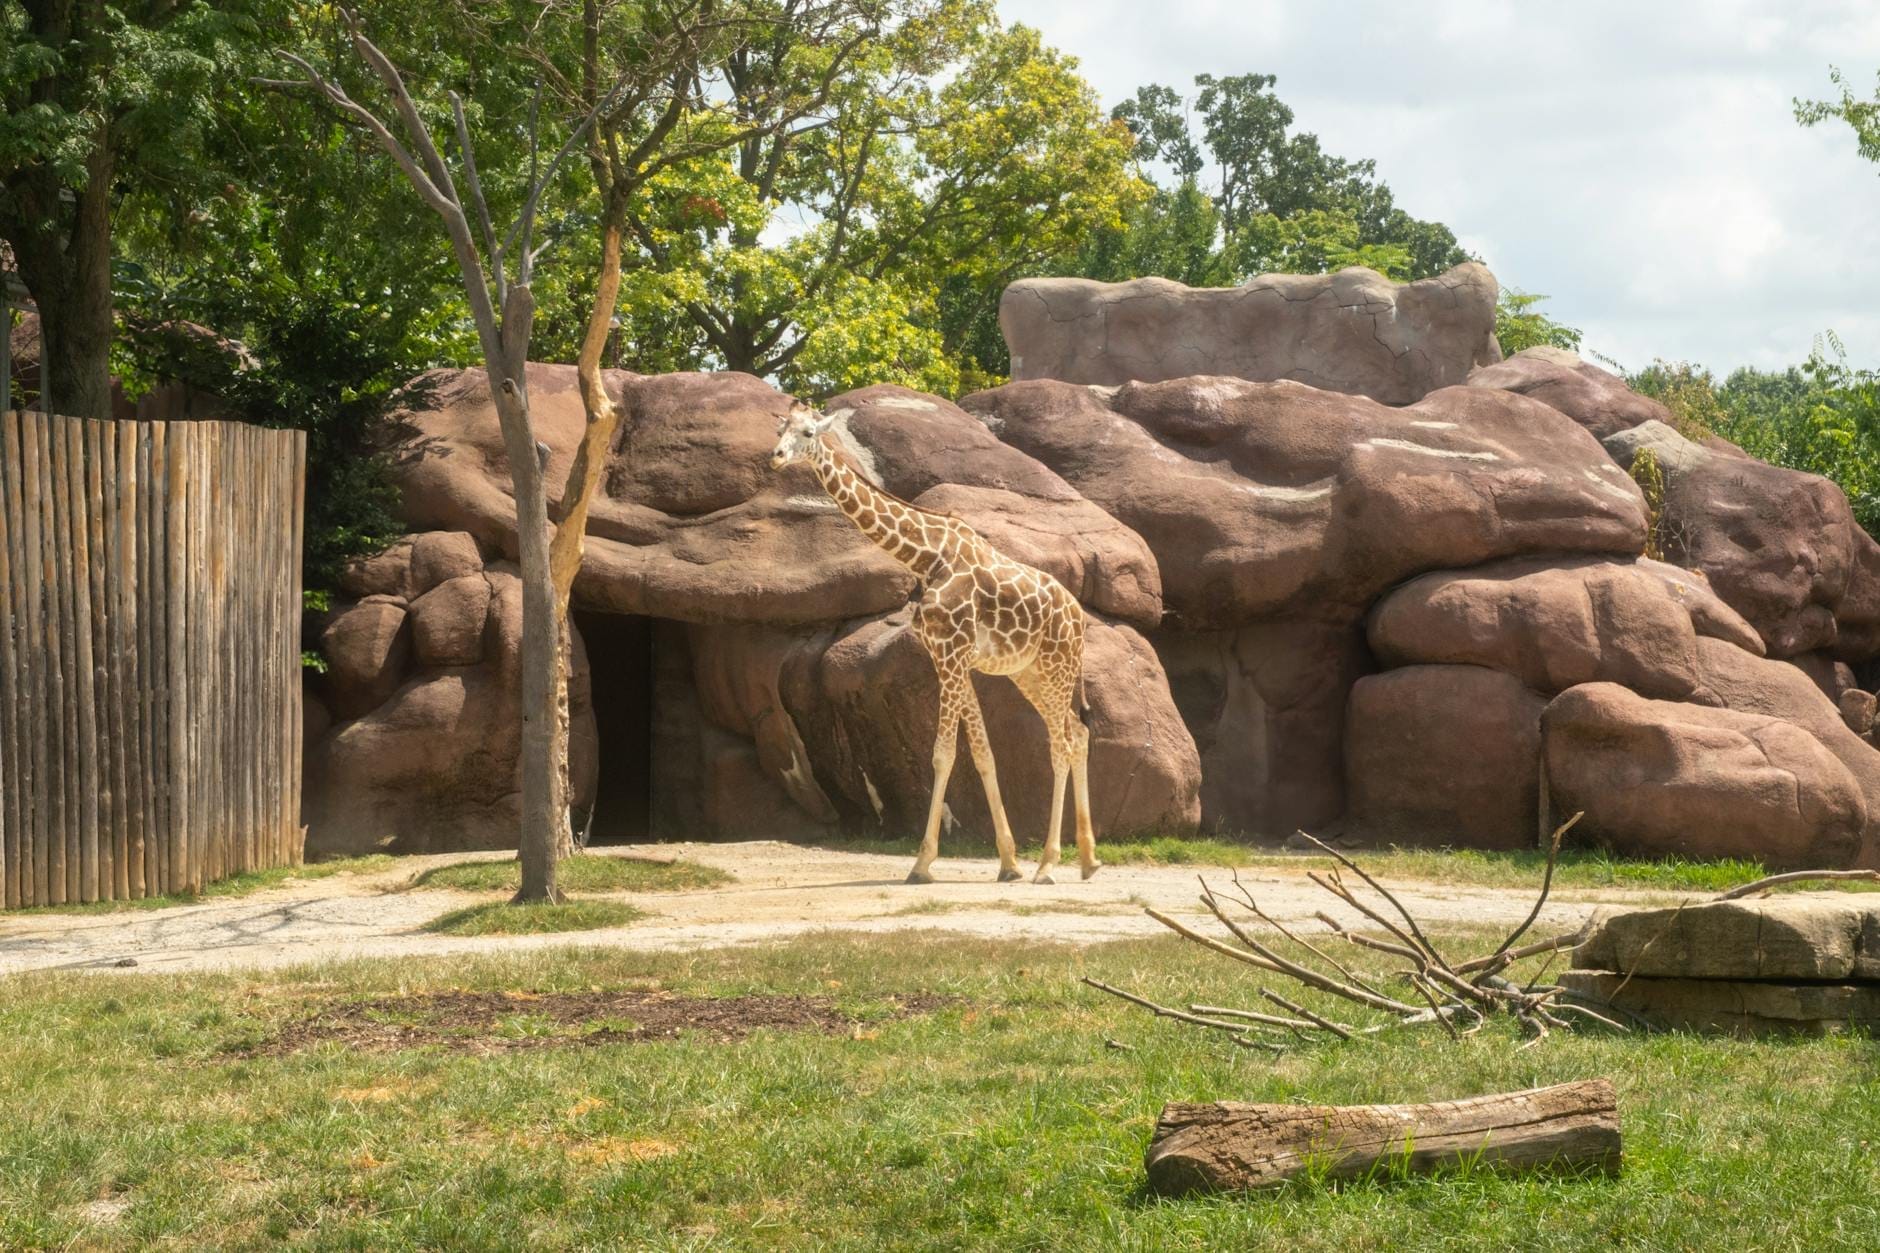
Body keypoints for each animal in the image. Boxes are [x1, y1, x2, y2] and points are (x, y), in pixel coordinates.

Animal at [770, 402, 1099, 885]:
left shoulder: (950, 655)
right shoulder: (954, 659)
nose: (775, 457)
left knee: (1061, 744)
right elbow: (982, 754)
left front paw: (922, 863)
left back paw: (1049, 864)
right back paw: (1089, 860)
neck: (926, 557)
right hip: (1029, 673)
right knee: (1077, 733)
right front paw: (1008, 862)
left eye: (808, 432)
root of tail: (1079, 618)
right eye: (780, 429)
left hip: (1057, 666)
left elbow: (943, 754)